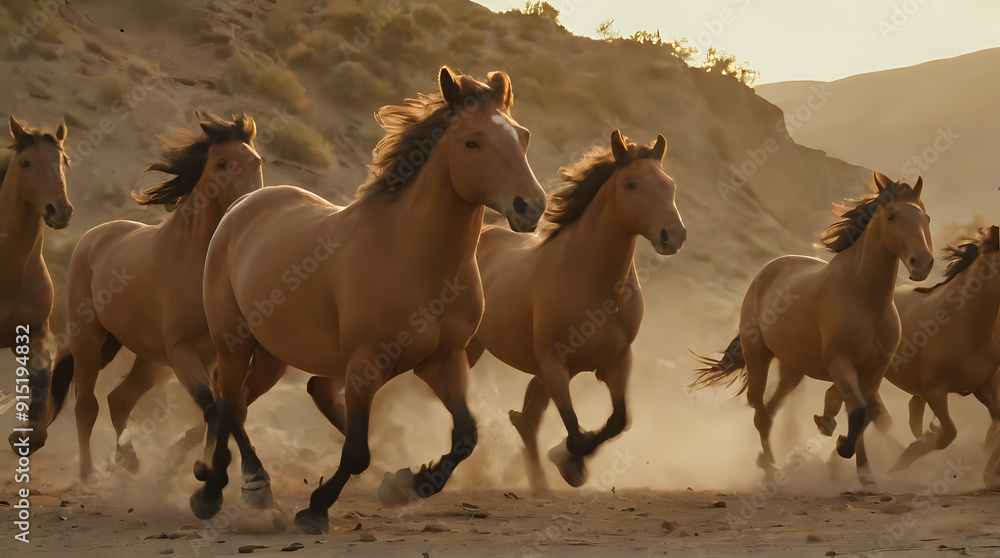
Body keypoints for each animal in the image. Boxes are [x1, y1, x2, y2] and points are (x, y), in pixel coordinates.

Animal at [61, 112, 262, 480]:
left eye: (257, 161)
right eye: (222, 163)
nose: (252, 205)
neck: (196, 262)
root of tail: (95, 236)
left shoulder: (217, 356)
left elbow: (226, 410)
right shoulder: (182, 351)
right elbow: (212, 405)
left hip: (149, 360)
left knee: (119, 399)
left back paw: (128, 459)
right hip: (88, 339)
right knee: (87, 405)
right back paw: (86, 474)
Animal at [190, 67, 547, 534]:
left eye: (522, 136)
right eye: (473, 142)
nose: (531, 207)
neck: (412, 255)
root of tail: (243, 204)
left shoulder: (444, 360)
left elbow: (466, 437)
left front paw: (408, 484)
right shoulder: (365, 365)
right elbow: (358, 451)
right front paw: (316, 508)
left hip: (273, 354)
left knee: (243, 404)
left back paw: (225, 485)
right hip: (233, 341)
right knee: (230, 405)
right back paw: (238, 488)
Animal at [465, 130, 685, 490]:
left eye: (669, 184)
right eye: (631, 184)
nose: (673, 235)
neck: (591, 283)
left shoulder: (617, 361)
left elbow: (619, 421)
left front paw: (566, 461)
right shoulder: (554, 364)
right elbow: (576, 432)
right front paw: (568, 463)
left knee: (529, 419)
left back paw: (537, 478)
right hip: (470, 347)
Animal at [692, 172, 933, 492]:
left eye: (926, 217)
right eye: (892, 215)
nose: (923, 263)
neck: (865, 300)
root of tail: (767, 271)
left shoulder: (874, 371)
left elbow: (867, 413)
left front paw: (865, 473)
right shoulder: (840, 363)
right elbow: (858, 411)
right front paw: (842, 444)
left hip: (793, 369)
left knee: (771, 410)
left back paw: (772, 460)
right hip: (758, 357)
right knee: (759, 409)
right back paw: (769, 467)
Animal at [814, 226, 1000, 489]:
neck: (965, 324)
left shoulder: (985, 388)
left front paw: (990, 477)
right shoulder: (935, 391)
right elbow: (948, 434)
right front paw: (905, 458)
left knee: (873, 413)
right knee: (871, 412)